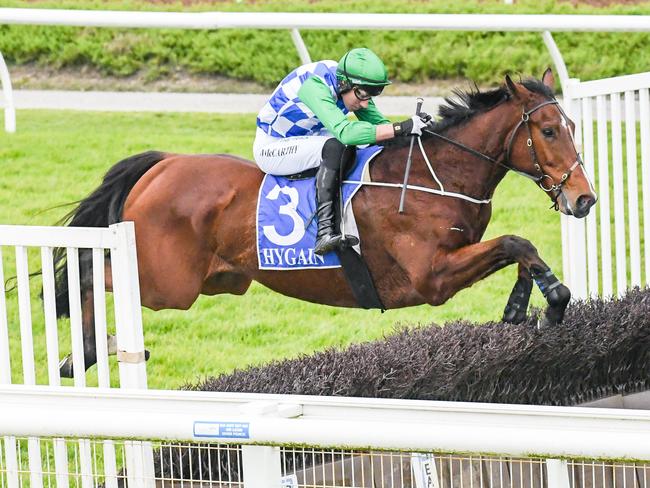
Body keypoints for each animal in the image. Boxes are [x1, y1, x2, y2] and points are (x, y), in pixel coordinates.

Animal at [53, 69, 596, 378]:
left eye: (571, 126)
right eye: (548, 130)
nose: (584, 198)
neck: (434, 175)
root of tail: (162, 165)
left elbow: (520, 249)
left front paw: (526, 305)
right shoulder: (430, 278)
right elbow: (516, 241)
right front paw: (550, 301)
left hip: (217, 281)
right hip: (168, 283)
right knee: (91, 272)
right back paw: (83, 351)